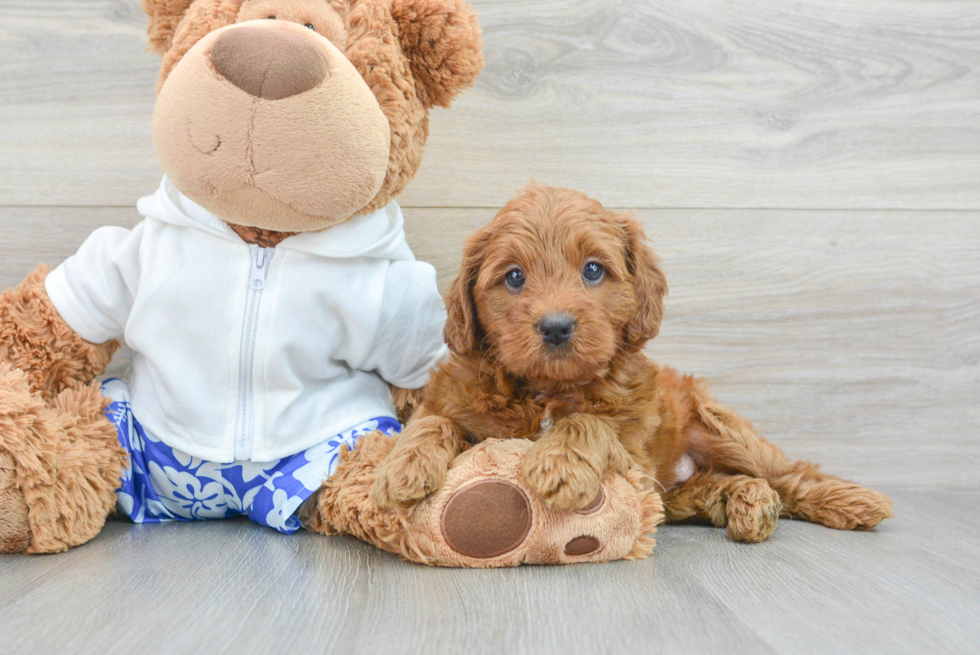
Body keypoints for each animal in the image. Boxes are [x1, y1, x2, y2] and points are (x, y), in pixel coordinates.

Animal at [372, 183, 892, 544]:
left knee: (790, 473)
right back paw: (743, 501)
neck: (547, 390)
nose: (556, 326)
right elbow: (435, 421)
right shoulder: (457, 403)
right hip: (672, 491)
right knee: (710, 488)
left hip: (723, 431)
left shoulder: (633, 457)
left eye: (593, 270)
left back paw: (852, 501)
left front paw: (559, 464)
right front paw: (401, 468)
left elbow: (589, 421)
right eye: (514, 277)